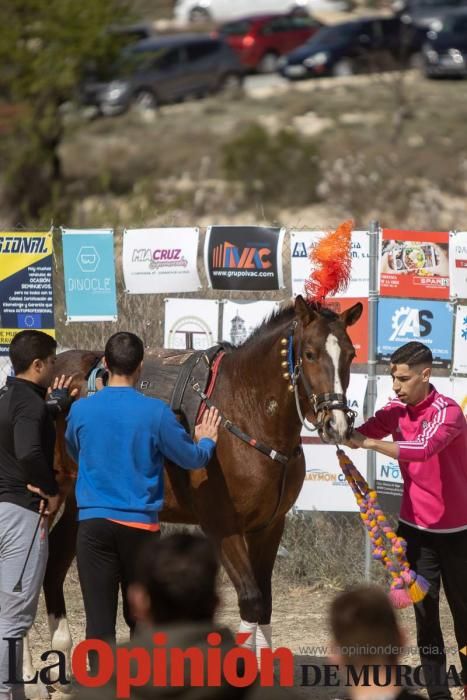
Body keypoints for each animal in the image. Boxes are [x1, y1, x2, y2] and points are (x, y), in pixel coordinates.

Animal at [29, 296, 364, 688]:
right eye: (310, 353)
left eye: (350, 353)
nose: (336, 423)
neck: (245, 411)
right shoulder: (222, 527)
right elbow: (251, 599)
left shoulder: (269, 527)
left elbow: (265, 602)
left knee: (54, 565)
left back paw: (61, 657)